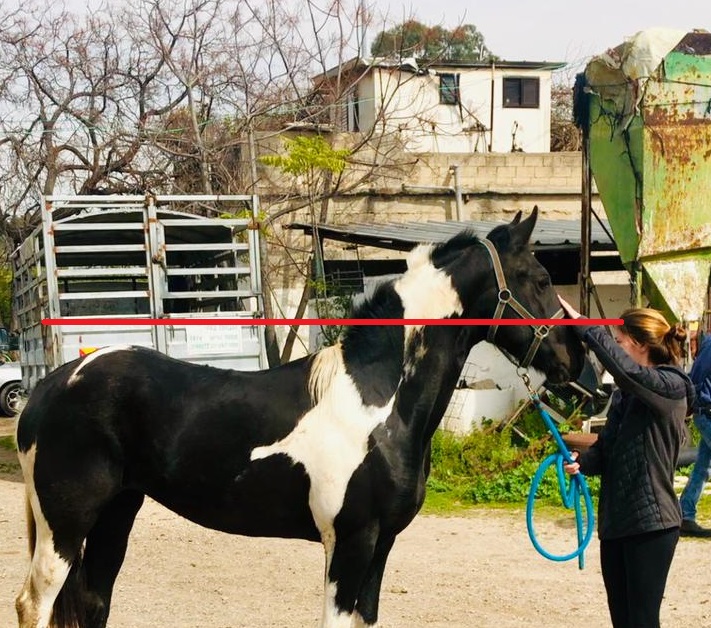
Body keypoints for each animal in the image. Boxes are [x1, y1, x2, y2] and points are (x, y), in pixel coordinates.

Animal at [14, 207, 585, 628]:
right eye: (538, 278)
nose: (576, 361)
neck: (379, 401)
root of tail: (50, 387)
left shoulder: (382, 546)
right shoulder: (351, 543)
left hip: (117, 513)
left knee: (92, 601)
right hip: (64, 526)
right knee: (35, 604)